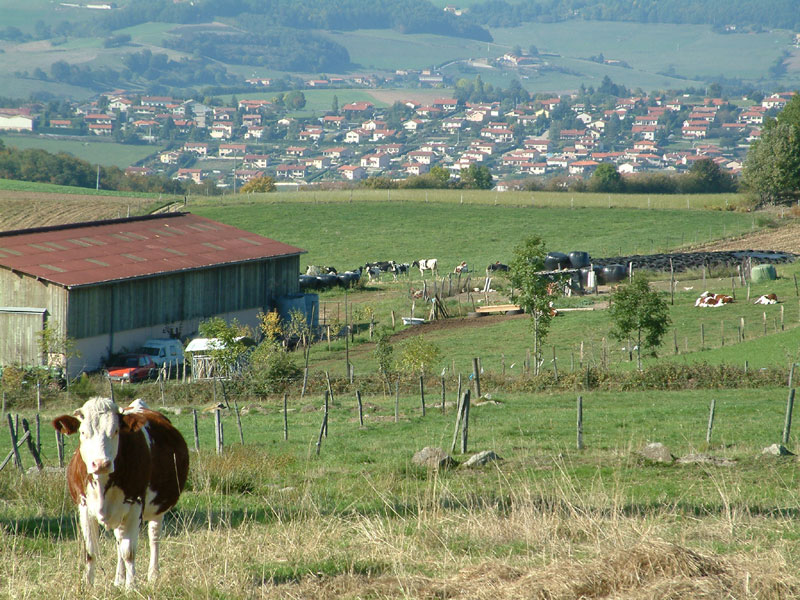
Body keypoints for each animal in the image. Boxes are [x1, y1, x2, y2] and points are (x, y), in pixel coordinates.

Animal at [54, 396, 190, 588]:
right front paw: (88, 585)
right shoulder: (84, 507)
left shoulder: (135, 506)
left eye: (116, 431)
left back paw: (153, 575)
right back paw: (119, 579)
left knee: (154, 537)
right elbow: (91, 551)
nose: (101, 463)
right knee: (119, 539)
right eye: (83, 432)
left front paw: (131, 586)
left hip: (157, 508)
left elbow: (129, 552)